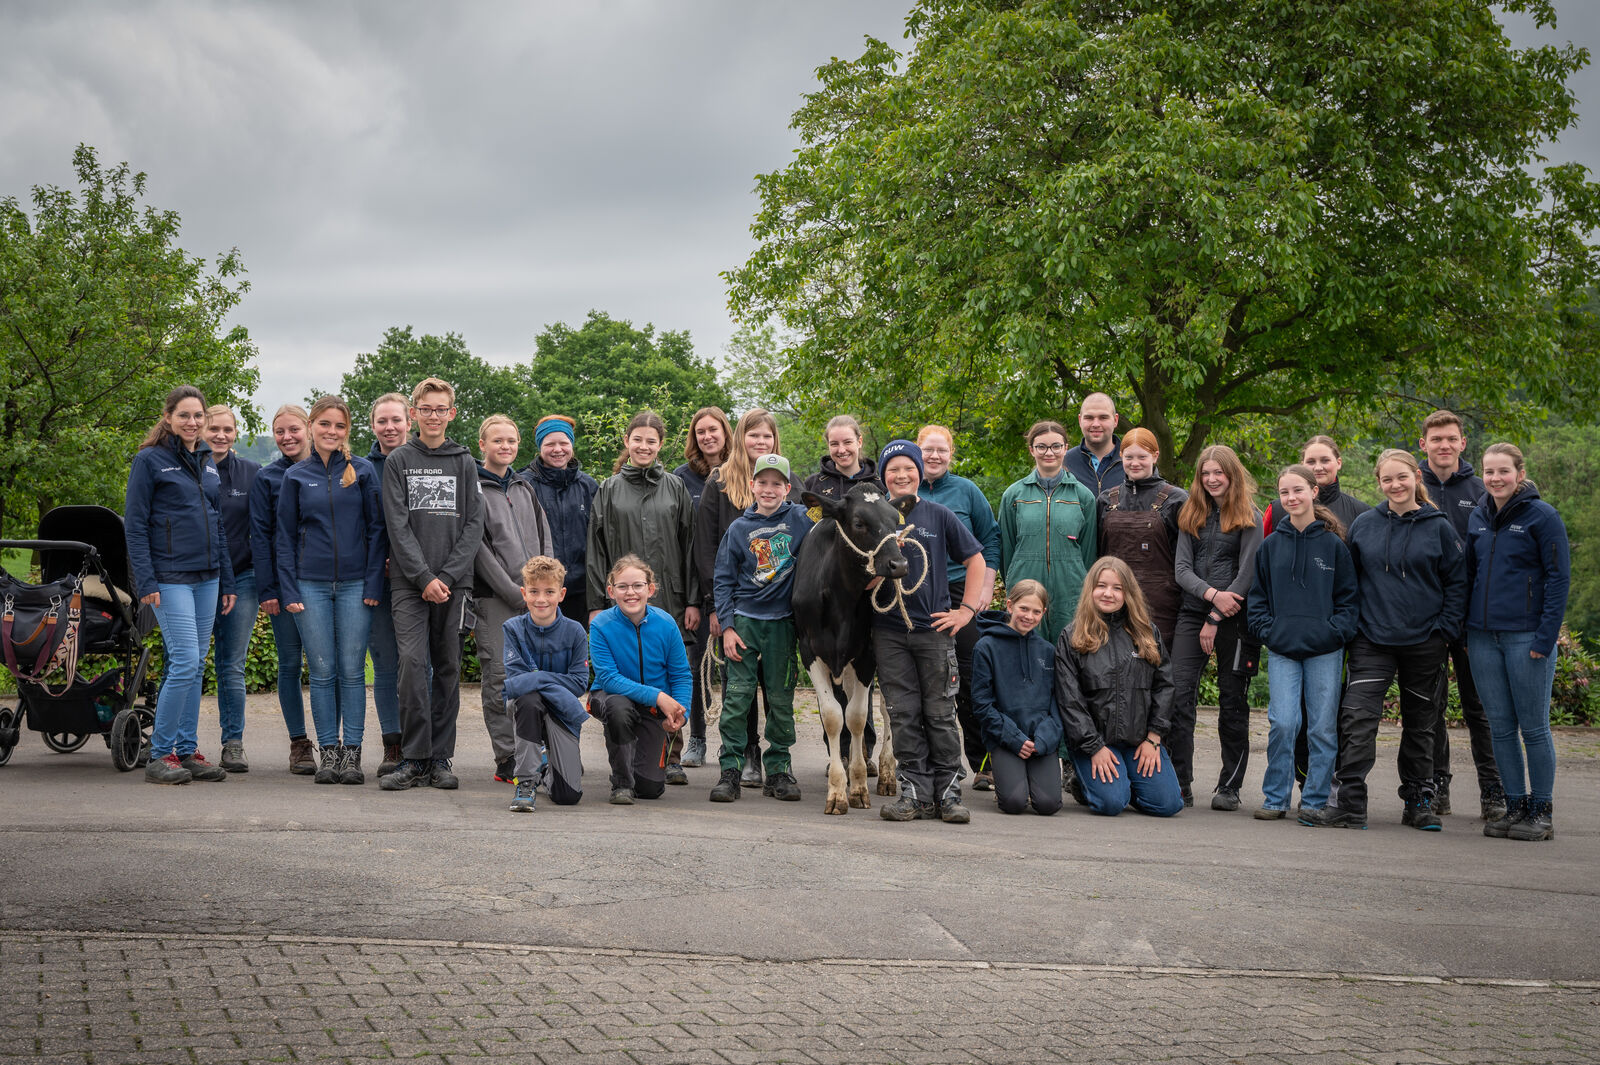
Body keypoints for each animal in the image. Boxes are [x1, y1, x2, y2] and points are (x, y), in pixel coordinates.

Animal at [790, 479, 908, 812]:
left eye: (895, 521)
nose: (899, 564)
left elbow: (855, 717)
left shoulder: (867, 654)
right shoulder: (810, 650)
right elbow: (833, 716)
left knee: (888, 710)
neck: (841, 597)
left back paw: (886, 774)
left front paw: (856, 787)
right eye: (859, 523)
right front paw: (837, 790)